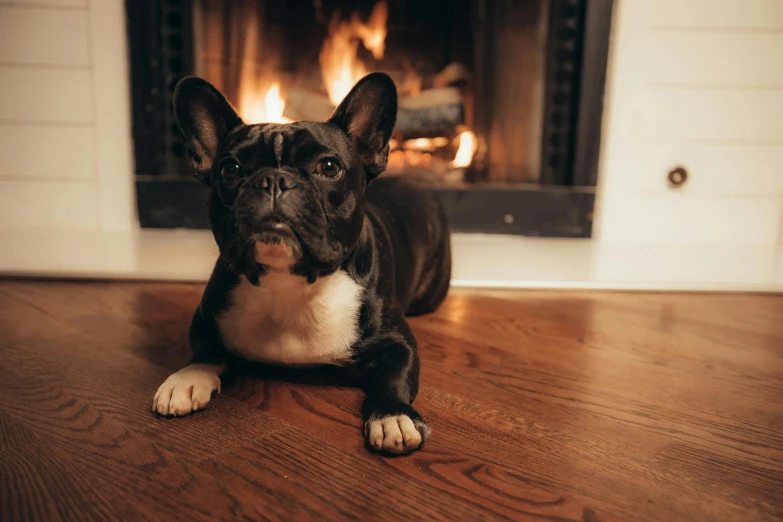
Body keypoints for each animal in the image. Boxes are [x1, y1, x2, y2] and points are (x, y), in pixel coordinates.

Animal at [150, 72, 450, 450]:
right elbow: (205, 350)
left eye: (329, 167)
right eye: (230, 169)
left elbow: (394, 379)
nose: (274, 179)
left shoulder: (398, 344)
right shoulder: (206, 318)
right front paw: (187, 378)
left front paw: (392, 415)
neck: (289, 281)